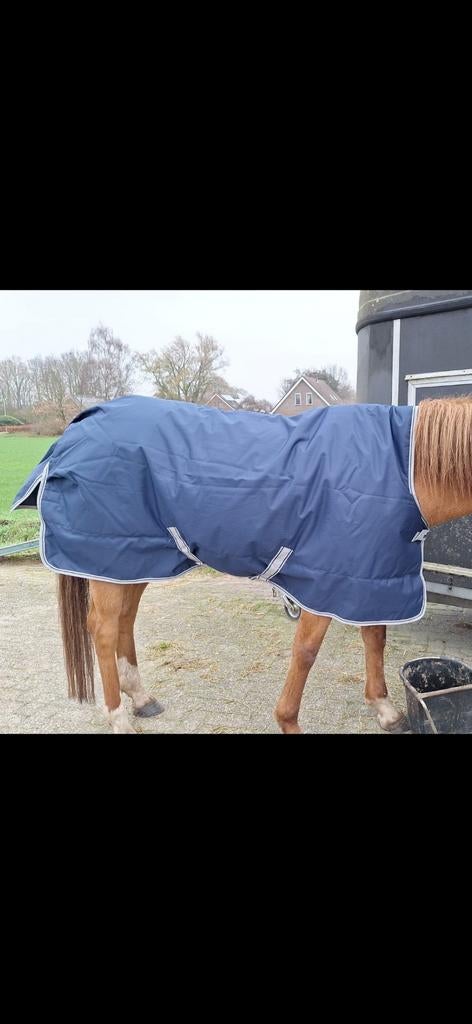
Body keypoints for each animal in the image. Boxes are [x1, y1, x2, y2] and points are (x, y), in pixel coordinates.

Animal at [12, 394, 472, 734]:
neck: (401, 466)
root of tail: (77, 427)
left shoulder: (370, 577)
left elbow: (375, 638)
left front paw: (386, 710)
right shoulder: (328, 580)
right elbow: (306, 652)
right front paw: (288, 721)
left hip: (131, 560)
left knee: (125, 621)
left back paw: (141, 699)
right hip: (110, 559)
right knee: (104, 629)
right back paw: (118, 718)